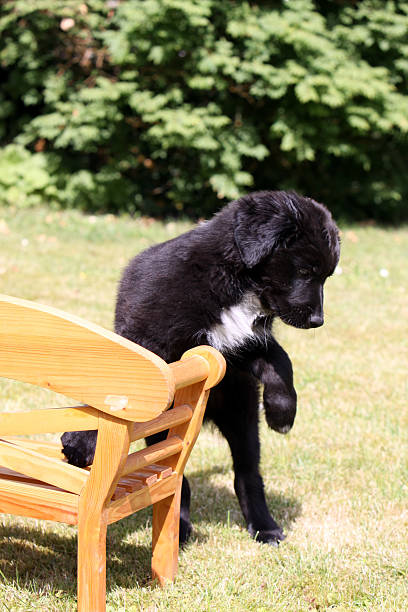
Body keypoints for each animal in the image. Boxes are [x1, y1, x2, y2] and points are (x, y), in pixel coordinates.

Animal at [62, 191, 340, 544]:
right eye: (305, 271)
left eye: (325, 276)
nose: (318, 321)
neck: (233, 284)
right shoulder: (149, 336)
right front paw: (82, 441)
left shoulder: (242, 345)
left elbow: (282, 362)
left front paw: (282, 413)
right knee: (176, 476)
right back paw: (179, 528)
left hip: (240, 413)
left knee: (247, 473)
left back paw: (264, 526)